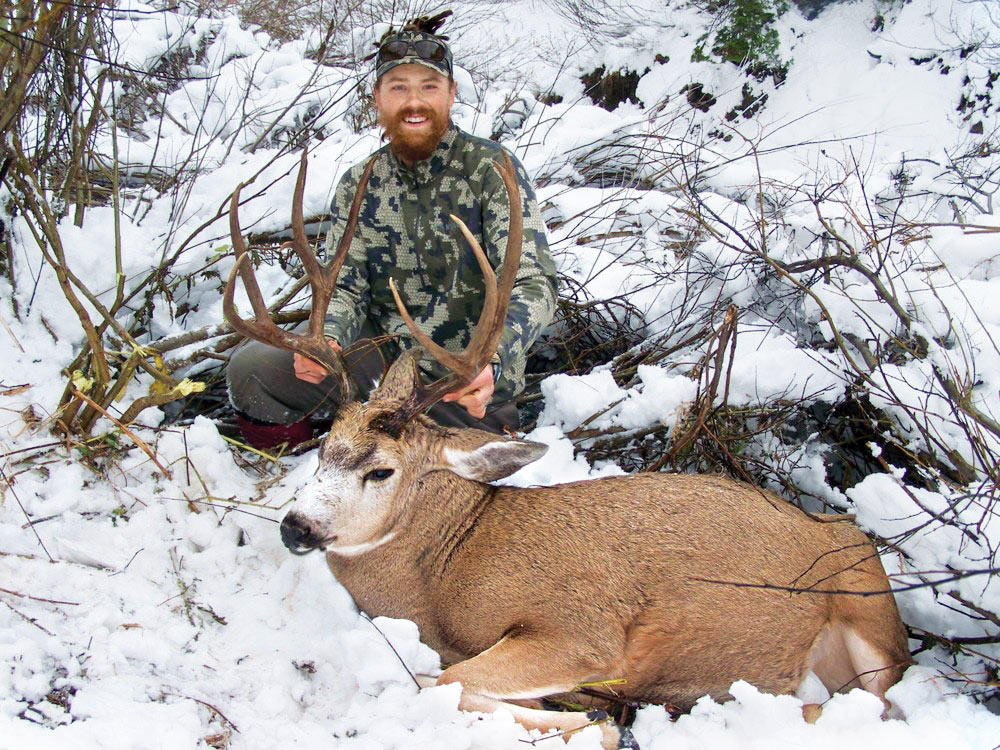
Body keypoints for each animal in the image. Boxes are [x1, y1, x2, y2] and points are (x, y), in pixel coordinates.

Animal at [223, 149, 912, 749]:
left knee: (880, 704)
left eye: (381, 470)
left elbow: (437, 682)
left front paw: (600, 724)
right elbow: (444, 679)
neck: (445, 577)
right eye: (324, 448)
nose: (295, 526)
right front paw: (591, 713)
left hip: (869, 611)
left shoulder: (579, 629)